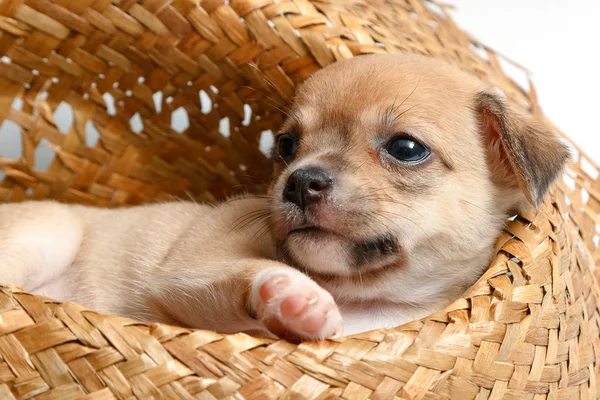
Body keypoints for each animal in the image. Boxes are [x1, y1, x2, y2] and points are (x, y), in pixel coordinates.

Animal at [0, 53, 568, 340]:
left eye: (406, 148)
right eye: (286, 146)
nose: (299, 180)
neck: (367, 300)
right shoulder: (189, 275)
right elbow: (250, 276)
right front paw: (293, 296)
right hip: (48, 233)